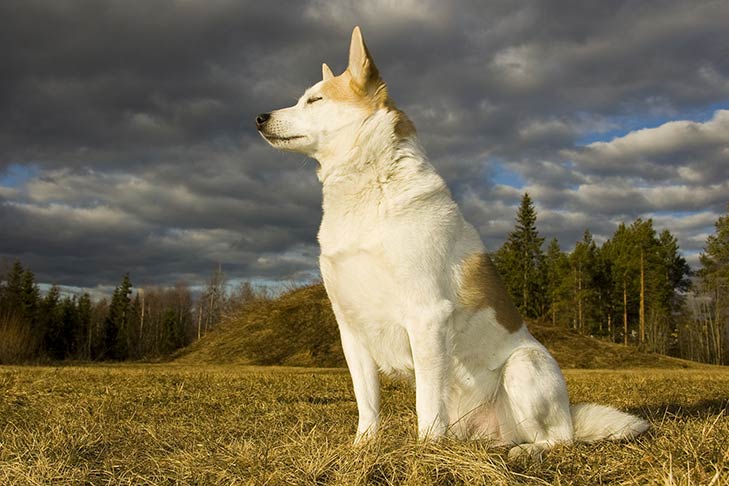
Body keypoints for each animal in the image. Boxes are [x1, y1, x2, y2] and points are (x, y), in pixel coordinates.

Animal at [258, 27, 648, 460]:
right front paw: (364, 447)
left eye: (315, 99)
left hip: (524, 367)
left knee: (559, 439)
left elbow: (427, 403)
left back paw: (527, 451)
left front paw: (425, 452)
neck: (369, 193)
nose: (259, 117)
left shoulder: (427, 316)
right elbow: (367, 402)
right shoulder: (351, 328)